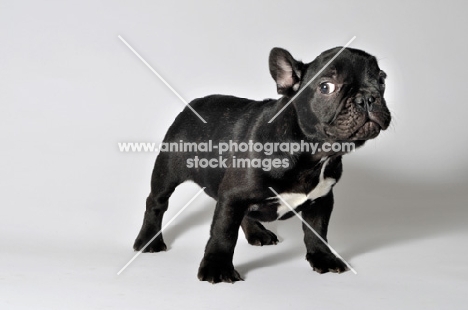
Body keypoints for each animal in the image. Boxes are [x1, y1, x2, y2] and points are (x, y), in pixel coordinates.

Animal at [133, 45, 394, 284]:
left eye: (382, 80)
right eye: (326, 87)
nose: (367, 97)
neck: (313, 156)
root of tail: (194, 104)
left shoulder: (322, 199)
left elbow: (317, 231)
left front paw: (323, 258)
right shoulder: (232, 196)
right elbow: (223, 232)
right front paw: (217, 268)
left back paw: (257, 232)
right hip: (168, 171)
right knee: (156, 203)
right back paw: (148, 241)